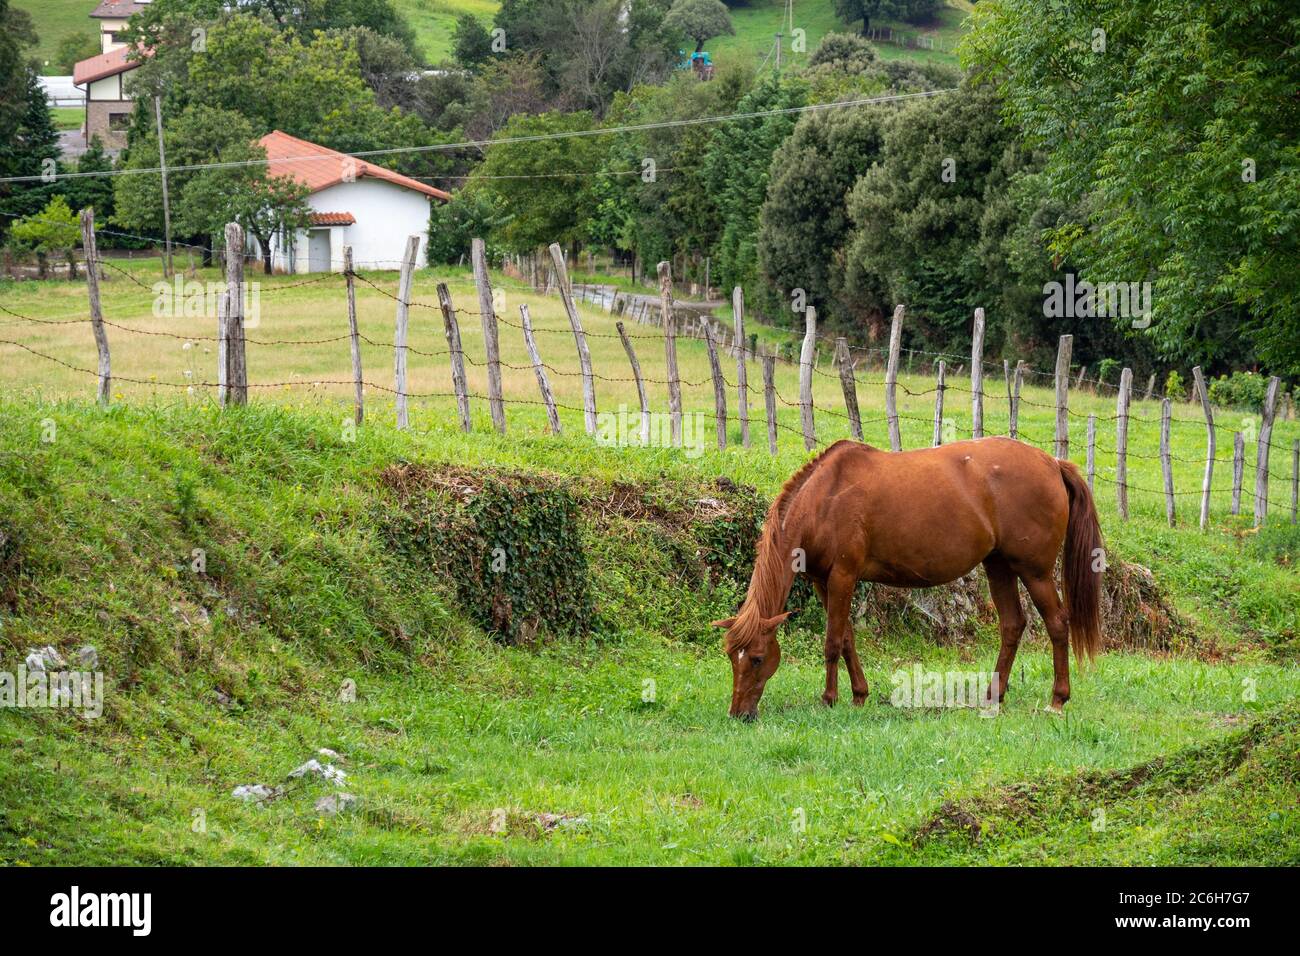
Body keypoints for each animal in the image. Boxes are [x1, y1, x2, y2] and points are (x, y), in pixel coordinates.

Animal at [717, 439, 1102, 717]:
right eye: (731, 656)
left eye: (756, 658)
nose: (739, 714)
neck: (824, 499)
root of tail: (1053, 463)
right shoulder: (824, 582)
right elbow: (847, 639)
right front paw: (859, 695)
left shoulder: (843, 576)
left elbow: (832, 642)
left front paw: (829, 699)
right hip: (999, 567)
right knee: (1012, 625)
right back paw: (993, 696)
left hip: (1034, 572)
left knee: (1057, 623)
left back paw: (1057, 699)